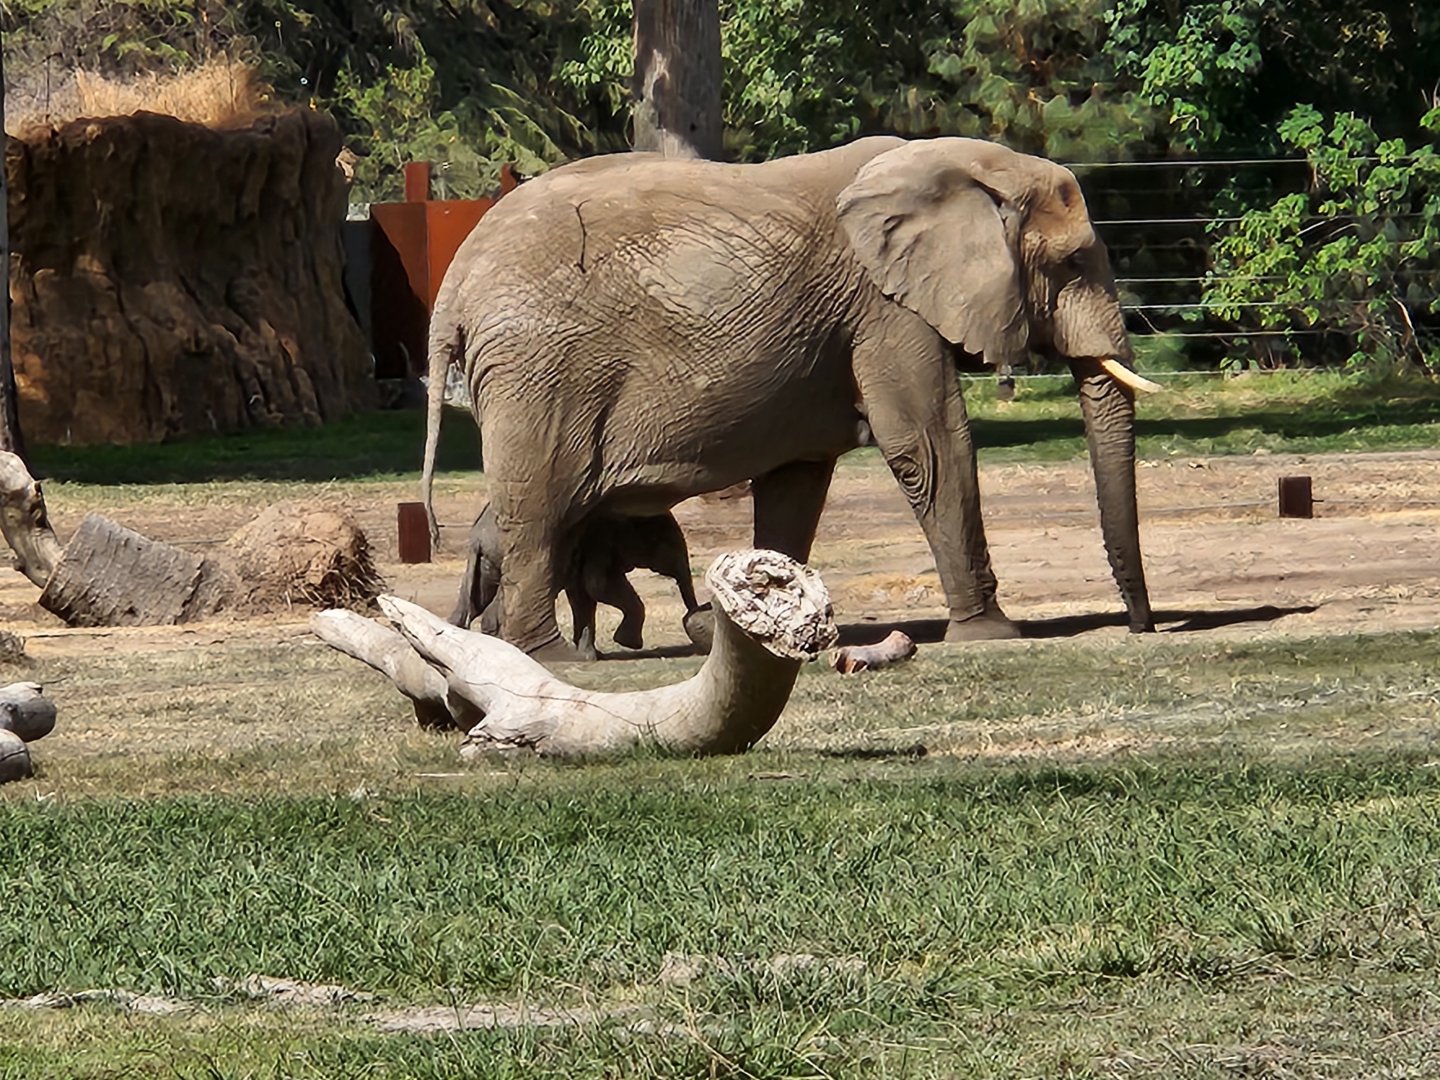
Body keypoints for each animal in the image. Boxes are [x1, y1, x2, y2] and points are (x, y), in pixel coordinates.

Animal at [451, 501, 709, 659]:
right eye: (666, 543)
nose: (699, 611)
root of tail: (477, 536)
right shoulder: (599, 541)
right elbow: (597, 586)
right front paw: (626, 644)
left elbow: (583, 595)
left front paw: (590, 655)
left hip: (487, 563)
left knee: (477, 599)